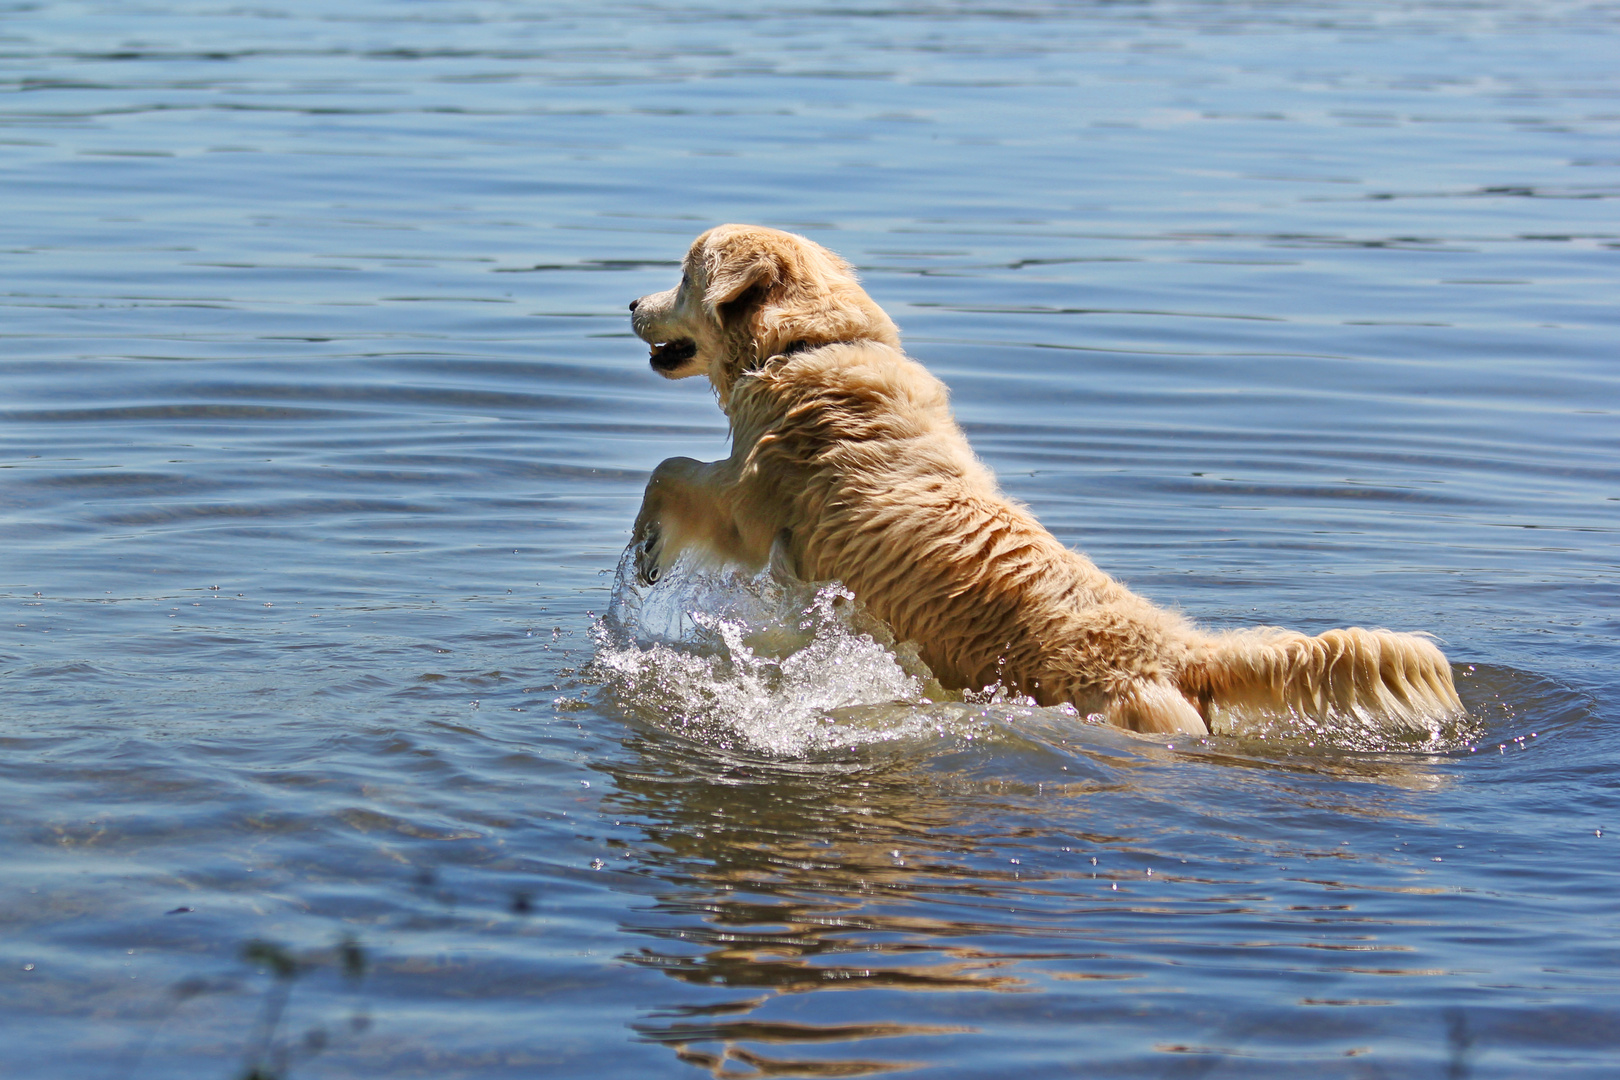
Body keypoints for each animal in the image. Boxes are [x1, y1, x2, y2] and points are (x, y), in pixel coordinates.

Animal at [625, 225, 1464, 738]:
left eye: (683, 275)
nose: (631, 301)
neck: (804, 346)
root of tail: (1180, 651)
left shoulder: (751, 504)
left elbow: (668, 470)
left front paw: (647, 552)